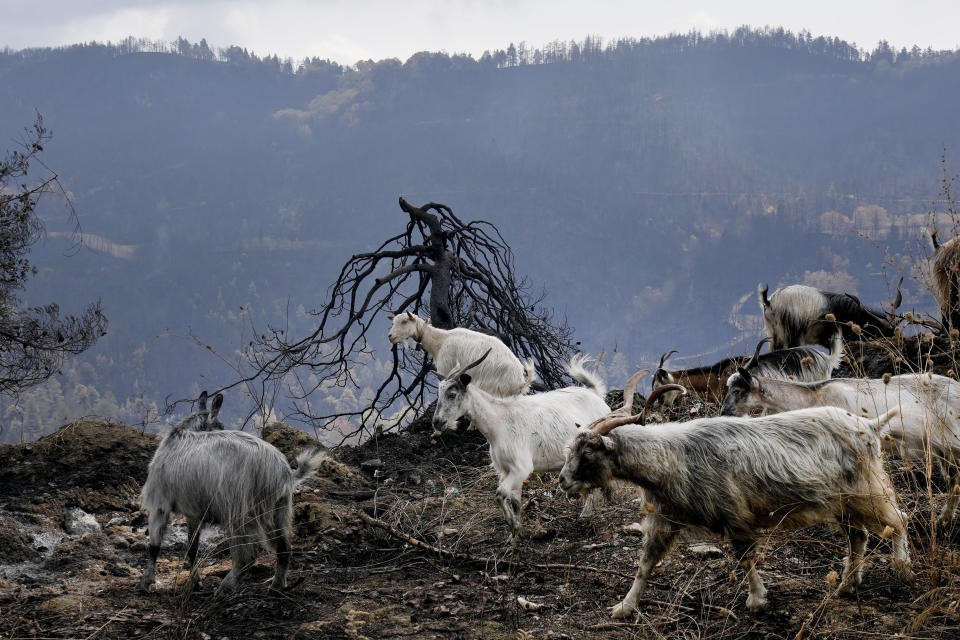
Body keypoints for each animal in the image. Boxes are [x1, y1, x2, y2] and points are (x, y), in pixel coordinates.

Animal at [139, 396, 326, 596]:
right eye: (219, 426)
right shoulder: (194, 513)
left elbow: (154, 545)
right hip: (278, 509)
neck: (178, 438)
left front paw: (146, 581)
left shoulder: (160, 504)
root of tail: (283, 473)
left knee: (247, 557)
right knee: (283, 548)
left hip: (240, 511)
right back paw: (276, 585)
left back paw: (225, 587)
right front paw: (195, 581)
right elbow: (192, 548)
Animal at [386, 310, 536, 396]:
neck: (440, 341)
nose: (390, 336)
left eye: (404, 321)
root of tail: (519, 381)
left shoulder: (447, 370)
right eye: (393, 322)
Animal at [434, 348, 612, 532]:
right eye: (438, 393)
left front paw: (512, 523)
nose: (437, 422)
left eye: (452, 394)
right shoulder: (505, 470)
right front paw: (516, 530)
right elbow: (515, 500)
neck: (499, 422)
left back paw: (587, 514)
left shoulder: (521, 468)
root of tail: (596, 395)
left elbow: (500, 494)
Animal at [564, 388, 916, 616]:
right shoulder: (663, 520)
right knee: (858, 536)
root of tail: (870, 425)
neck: (671, 457)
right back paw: (845, 586)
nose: (563, 481)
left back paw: (904, 569)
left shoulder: (734, 515)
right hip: (843, 502)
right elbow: (645, 565)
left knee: (898, 518)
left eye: (589, 449)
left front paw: (757, 600)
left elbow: (745, 558)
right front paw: (624, 607)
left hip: (865, 490)